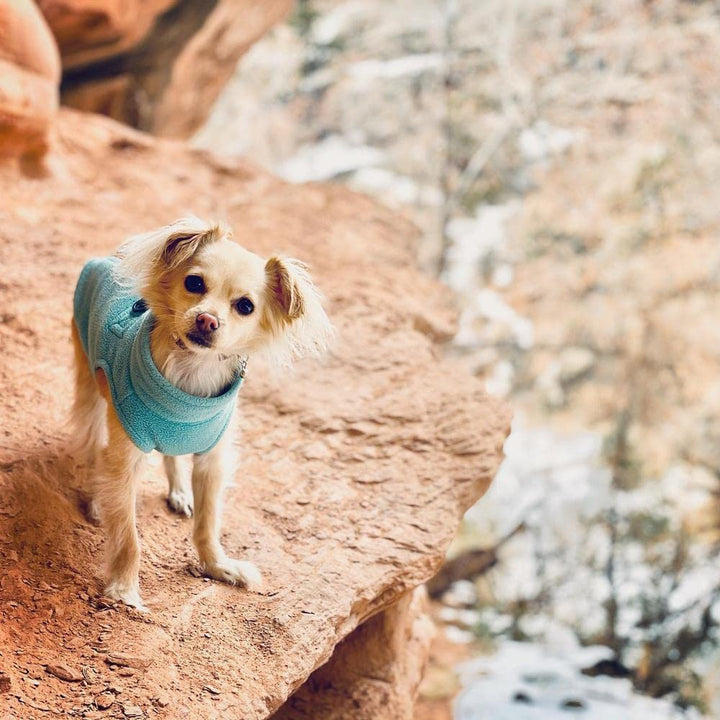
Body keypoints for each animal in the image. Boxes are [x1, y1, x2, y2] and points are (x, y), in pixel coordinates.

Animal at [71, 217, 330, 612]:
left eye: (245, 306)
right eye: (194, 283)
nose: (207, 320)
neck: (189, 381)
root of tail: (105, 259)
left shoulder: (212, 462)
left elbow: (208, 525)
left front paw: (218, 567)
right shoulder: (126, 455)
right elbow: (128, 536)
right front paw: (125, 588)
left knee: (171, 456)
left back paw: (179, 491)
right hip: (91, 391)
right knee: (92, 444)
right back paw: (99, 497)